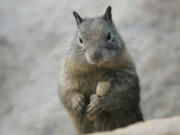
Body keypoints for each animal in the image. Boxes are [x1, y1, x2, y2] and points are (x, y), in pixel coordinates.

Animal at [58, 5, 143, 134]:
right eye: (80, 39)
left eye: (109, 36)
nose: (96, 56)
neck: (96, 68)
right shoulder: (68, 76)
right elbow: (67, 93)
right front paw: (77, 101)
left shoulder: (127, 76)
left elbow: (120, 95)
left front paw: (99, 103)